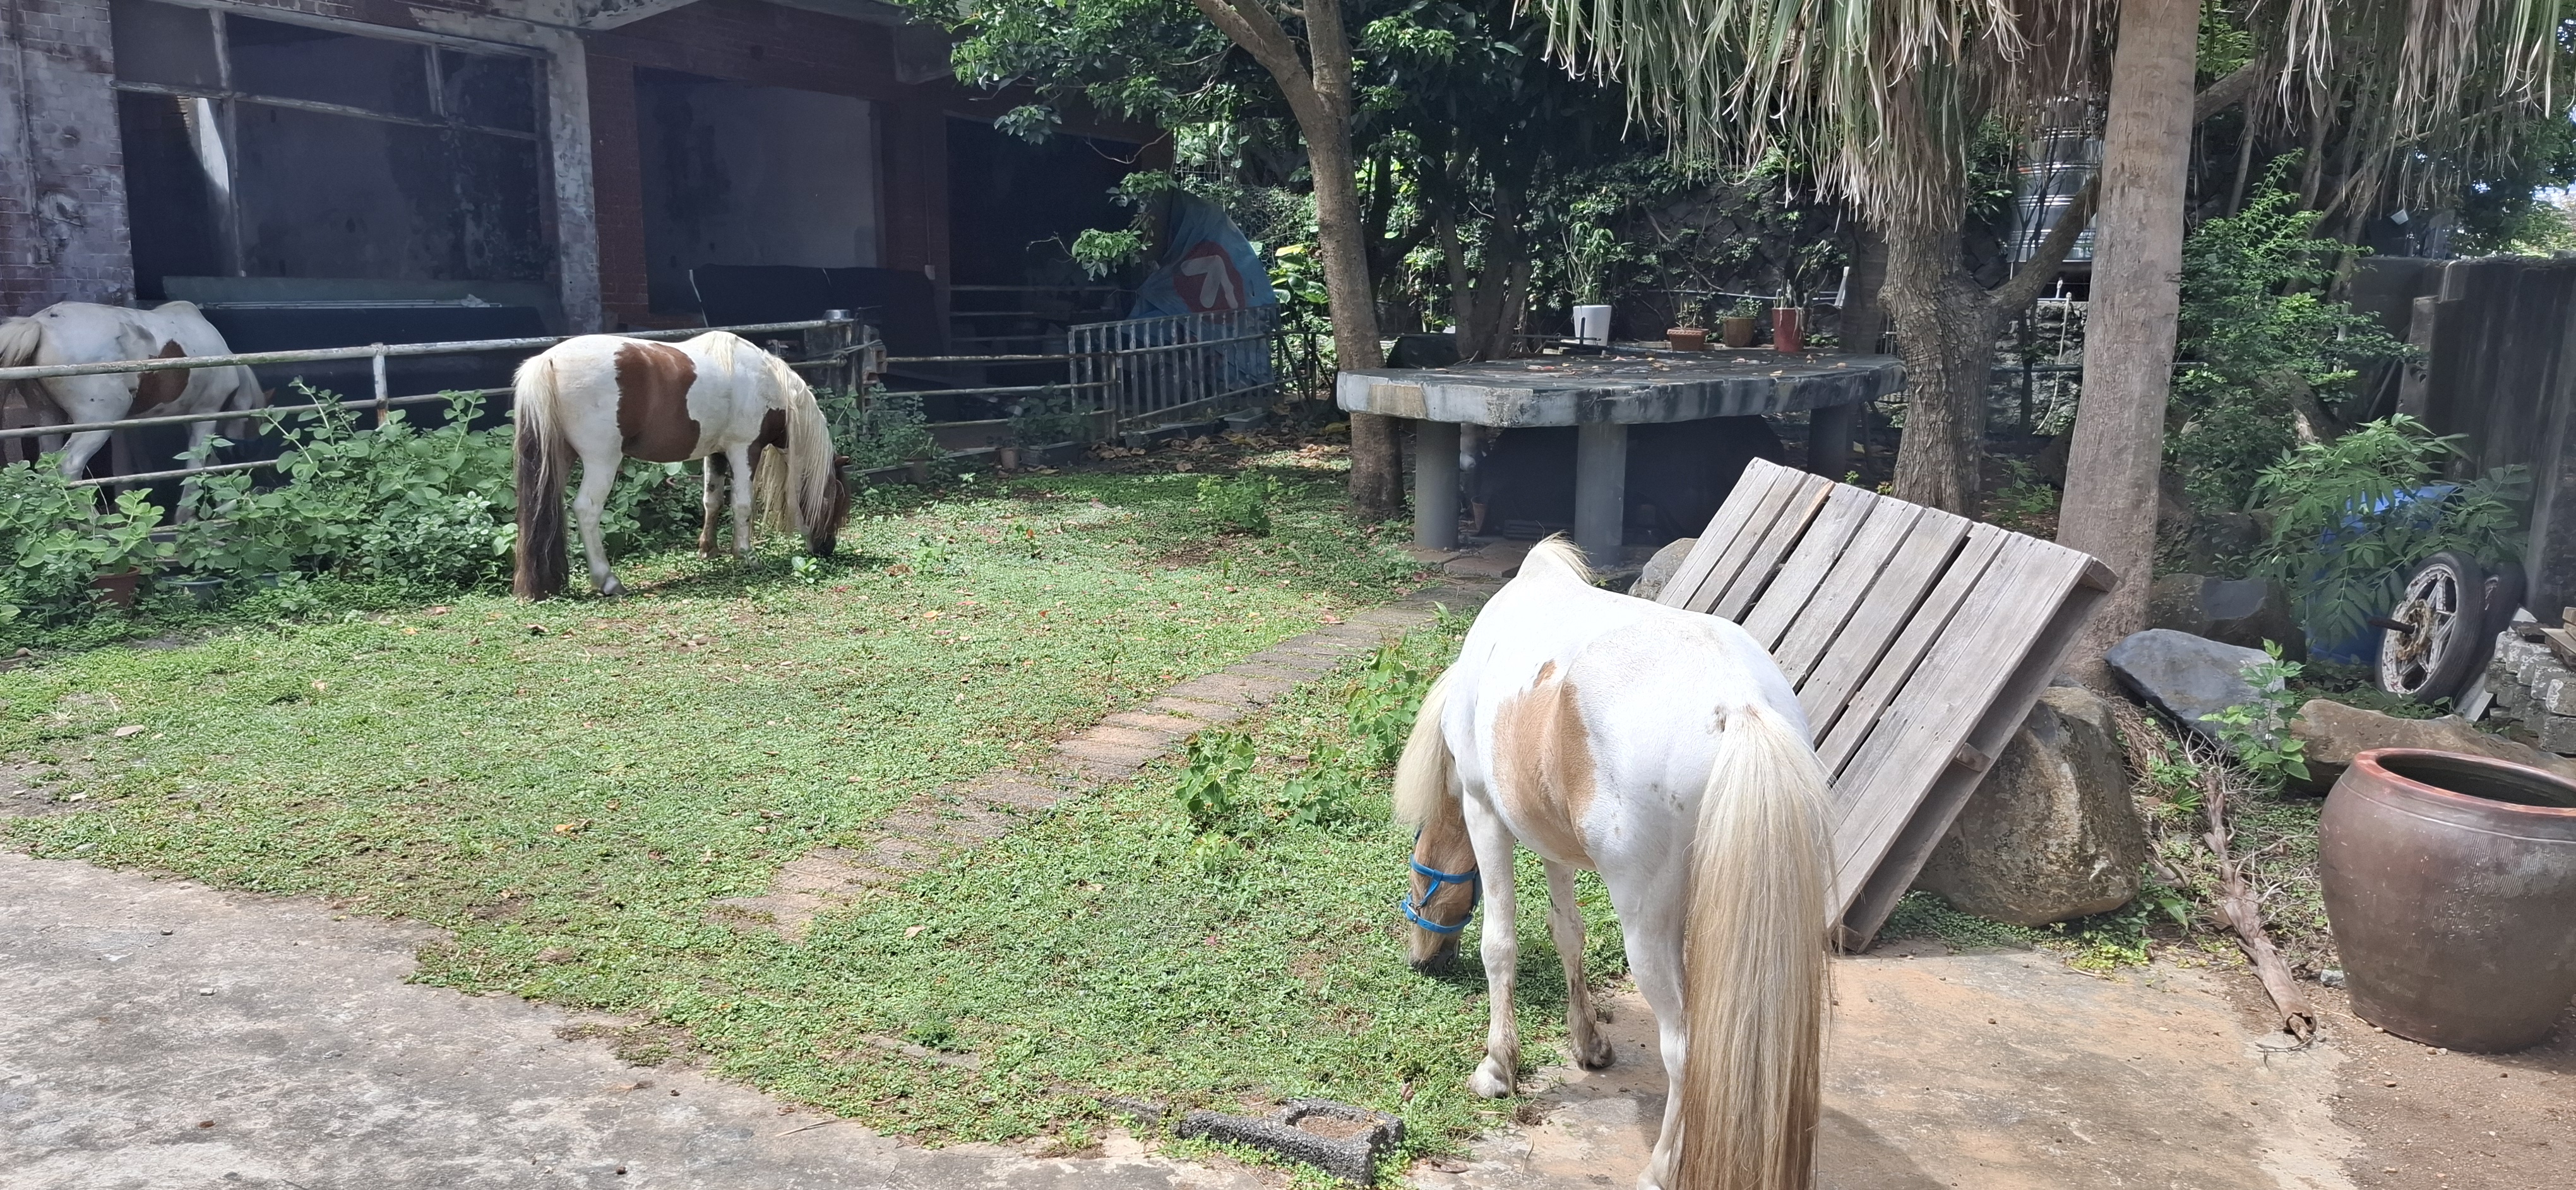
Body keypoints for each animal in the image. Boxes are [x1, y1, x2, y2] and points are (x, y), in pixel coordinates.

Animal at [0, 301, 265, 484]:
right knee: (70, 465)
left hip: (48, 418)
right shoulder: (206, 413)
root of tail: (41, 325)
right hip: (97, 421)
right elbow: (196, 465)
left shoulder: (188, 416)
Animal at [509, 331, 851, 600]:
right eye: (834, 499)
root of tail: (548, 361)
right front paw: (747, 556)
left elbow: (712, 501)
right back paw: (608, 581)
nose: (826, 549)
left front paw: (708, 550)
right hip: (601, 460)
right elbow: (742, 504)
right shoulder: (744, 449)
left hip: (559, 459)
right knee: (587, 509)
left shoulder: (716, 453)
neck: (768, 383)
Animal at [1394, 537, 1832, 1190]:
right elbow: (1568, 933)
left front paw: (1497, 1069)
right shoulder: (1551, 838)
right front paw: (1588, 1044)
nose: (1421, 956)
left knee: (1683, 1048)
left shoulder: (1486, 813)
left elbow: (1500, 945)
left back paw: (1660, 1169)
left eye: (1422, 858)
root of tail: (1740, 705)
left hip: (1648, 925)